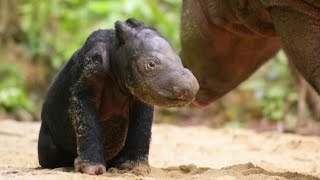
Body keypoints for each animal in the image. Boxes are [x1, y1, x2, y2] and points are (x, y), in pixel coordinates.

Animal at [38, 18, 200, 174]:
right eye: (151, 65)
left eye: (179, 60)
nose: (190, 88)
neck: (116, 52)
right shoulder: (89, 76)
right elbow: (86, 122)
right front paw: (91, 169)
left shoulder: (141, 93)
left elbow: (142, 126)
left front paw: (136, 168)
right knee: (48, 154)